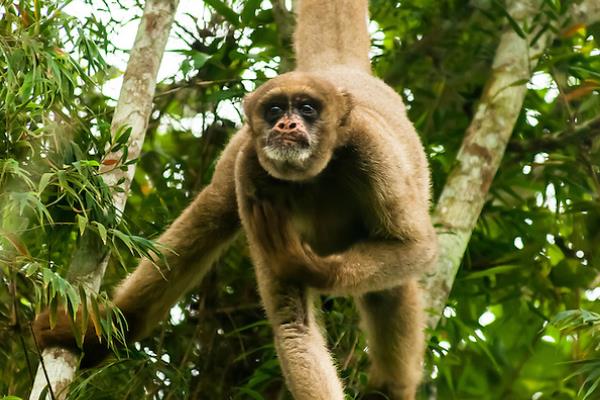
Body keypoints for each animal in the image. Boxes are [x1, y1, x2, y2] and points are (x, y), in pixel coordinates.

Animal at [34, 1, 436, 398]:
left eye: (306, 109)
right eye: (274, 110)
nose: (286, 125)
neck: (313, 176)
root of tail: (336, 73)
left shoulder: (372, 151)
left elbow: (418, 248)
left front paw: (306, 266)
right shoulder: (249, 168)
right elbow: (292, 325)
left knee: (390, 287)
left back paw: (391, 388)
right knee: (214, 209)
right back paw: (108, 332)